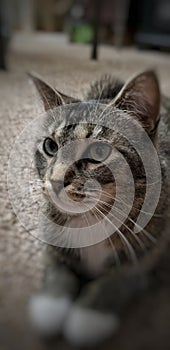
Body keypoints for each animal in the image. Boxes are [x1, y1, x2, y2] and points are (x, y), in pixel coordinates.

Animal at [28, 69, 170, 346]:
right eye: (50, 146)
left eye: (99, 151)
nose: (55, 180)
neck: (90, 217)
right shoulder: (48, 231)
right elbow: (57, 265)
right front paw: (50, 305)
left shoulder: (154, 249)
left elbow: (120, 278)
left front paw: (89, 316)